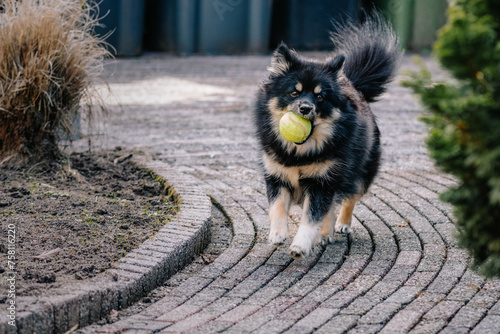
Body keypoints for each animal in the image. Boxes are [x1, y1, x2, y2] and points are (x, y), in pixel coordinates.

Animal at [254, 14, 402, 258]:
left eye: (320, 97)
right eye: (294, 92)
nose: (305, 108)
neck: (300, 153)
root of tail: (354, 86)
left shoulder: (322, 182)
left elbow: (311, 217)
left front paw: (300, 245)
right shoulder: (277, 176)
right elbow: (277, 207)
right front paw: (277, 233)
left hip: (360, 173)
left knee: (349, 199)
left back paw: (340, 225)